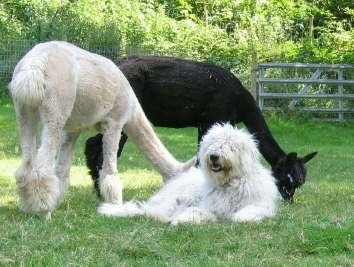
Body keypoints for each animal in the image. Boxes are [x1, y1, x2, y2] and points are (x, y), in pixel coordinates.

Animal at [8, 40, 195, 219]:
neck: (132, 110)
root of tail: (33, 64)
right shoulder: (115, 122)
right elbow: (110, 171)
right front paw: (117, 206)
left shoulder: (73, 129)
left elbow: (62, 169)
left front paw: (58, 200)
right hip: (56, 106)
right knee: (41, 168)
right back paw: (45, 212)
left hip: (23, 110)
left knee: (27, 164)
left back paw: (27, 207)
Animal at [98, 124, 280, 225]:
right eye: (212, 143)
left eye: (229, 145)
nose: (214, 156)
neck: (228, 183)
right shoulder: (208, 206)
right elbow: (197, 212)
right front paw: (182, 219)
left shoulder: (260, 203)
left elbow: (249, 210)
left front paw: (242, 216)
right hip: (175, 198)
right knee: (154, 212)